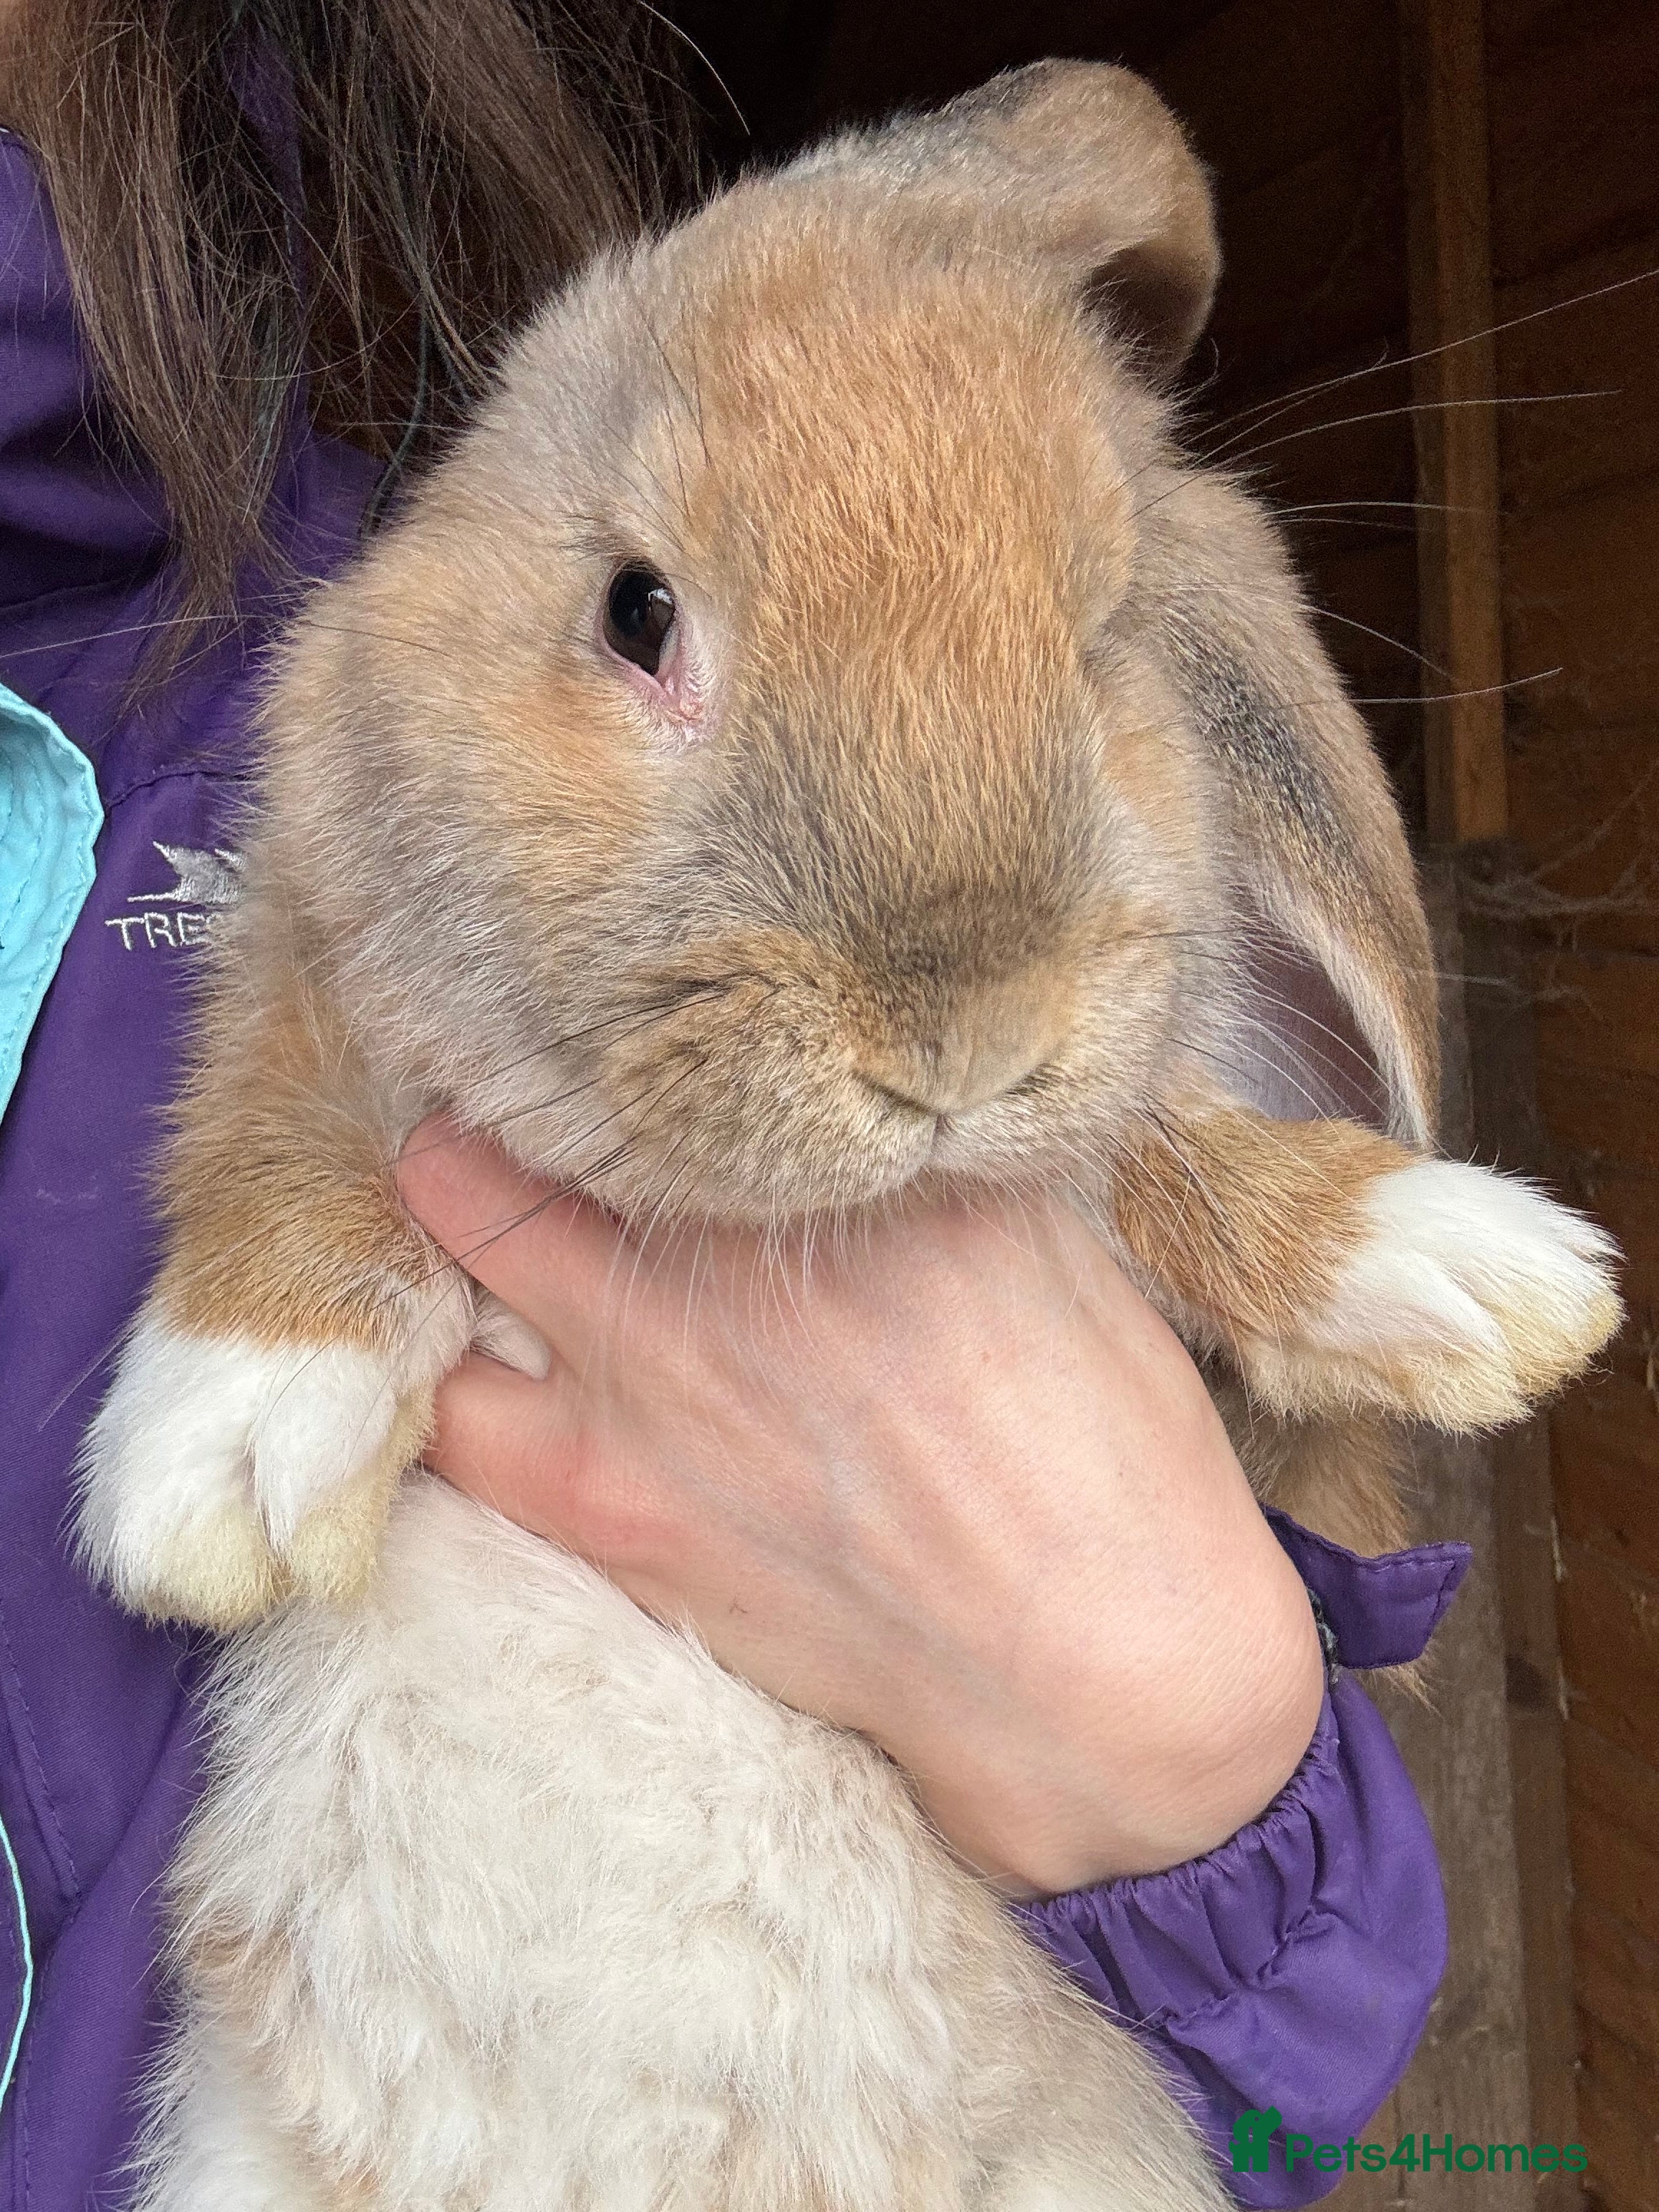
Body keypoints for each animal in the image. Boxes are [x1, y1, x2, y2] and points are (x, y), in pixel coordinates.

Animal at [78, 59, 1620, 2212]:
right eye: (635, 611)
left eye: (1101, 639)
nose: (958, 1034)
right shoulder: (320, 961)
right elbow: (281, 1110)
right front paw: (223, 1456)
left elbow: (1154, 1151)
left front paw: (1462, 1269)